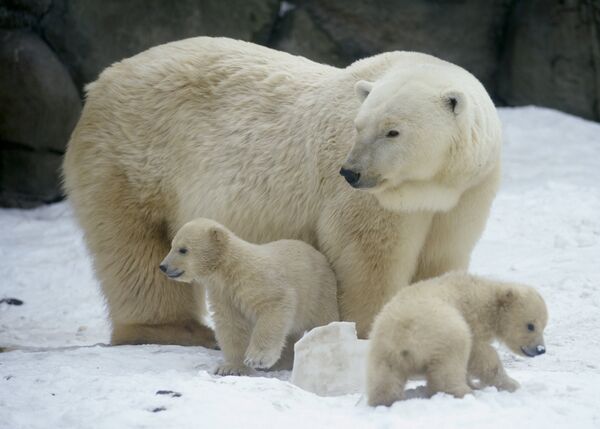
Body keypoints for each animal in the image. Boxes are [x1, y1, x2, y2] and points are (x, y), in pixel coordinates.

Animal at [61, 36, 502, 344]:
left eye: (392, 131)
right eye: (358, 126)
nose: (352, 172)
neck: (428, 185)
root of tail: (100, 82)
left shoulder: (466, 193)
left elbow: (440, 258)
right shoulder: (370, 201)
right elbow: (368, 258)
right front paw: (369, 329)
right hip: (132, 159)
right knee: (134, 246)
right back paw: (175, 330)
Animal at [159, 219, 338, 372]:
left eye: (183, 249)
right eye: (172, 245)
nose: (163, 266)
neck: (229, 268)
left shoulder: (255, 280)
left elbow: (275, 304)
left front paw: (257, 359)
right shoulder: (223, 293)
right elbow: (231, 325)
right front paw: (230, 367)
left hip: (319, 293)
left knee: (324, 319)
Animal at [366, 272, 548, 406]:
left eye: (544, 325)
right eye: (530, 325)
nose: (541, 350)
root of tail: (406, 335)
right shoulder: (472, 321)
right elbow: (481, 356)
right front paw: (511, 384)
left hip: (384, 349)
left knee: (385, 377)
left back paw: (386, 399)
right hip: (446, 331)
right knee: (450, 365)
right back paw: (463, 392)